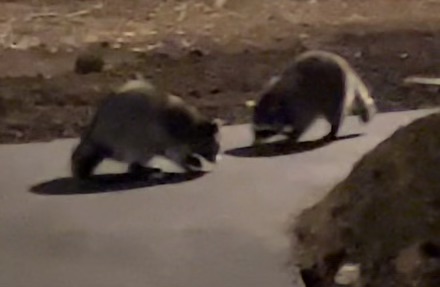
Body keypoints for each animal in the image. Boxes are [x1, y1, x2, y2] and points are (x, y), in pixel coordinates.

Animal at [72, 76, 223, 180]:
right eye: (215, 146)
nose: (215, 160)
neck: (195, 126)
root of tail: (95, 130)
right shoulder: (171, 133)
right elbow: (175, 155)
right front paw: (188, 163)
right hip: (129, 138)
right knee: (137, 155)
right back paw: (141, 169)